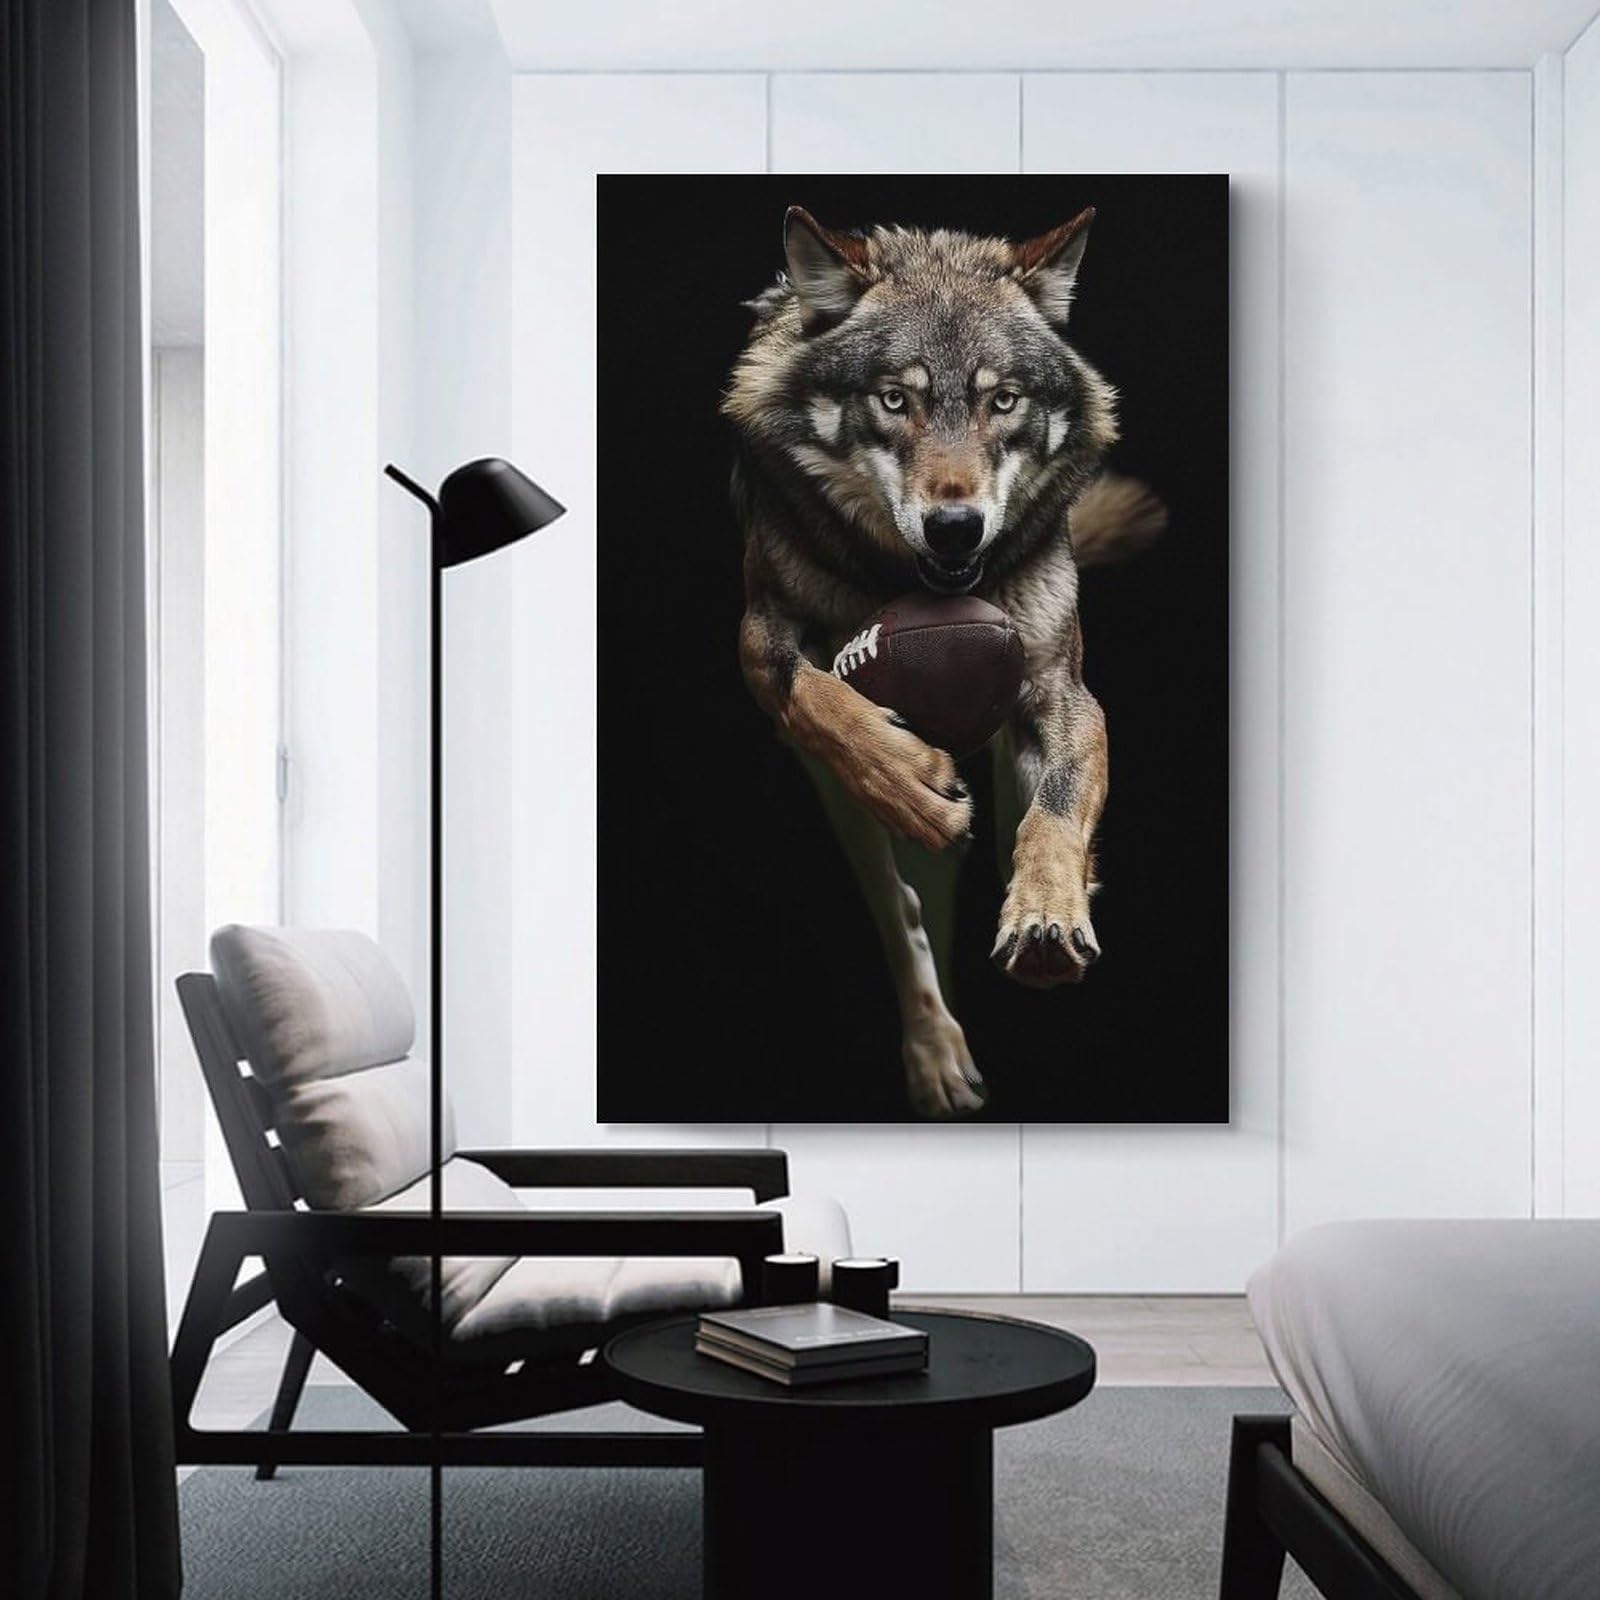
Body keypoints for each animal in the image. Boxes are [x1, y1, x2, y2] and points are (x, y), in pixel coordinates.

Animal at [723, 207, 1164, 1118]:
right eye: (896, 400)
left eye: (1004, 400)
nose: (955, 528)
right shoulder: (759, 640)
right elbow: (821, 697)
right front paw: (911, 783)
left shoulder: (1065, 693)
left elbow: (1053, 813)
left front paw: (1047, 912)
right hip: (839, 809)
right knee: (902, 906)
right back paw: (936, 1051)